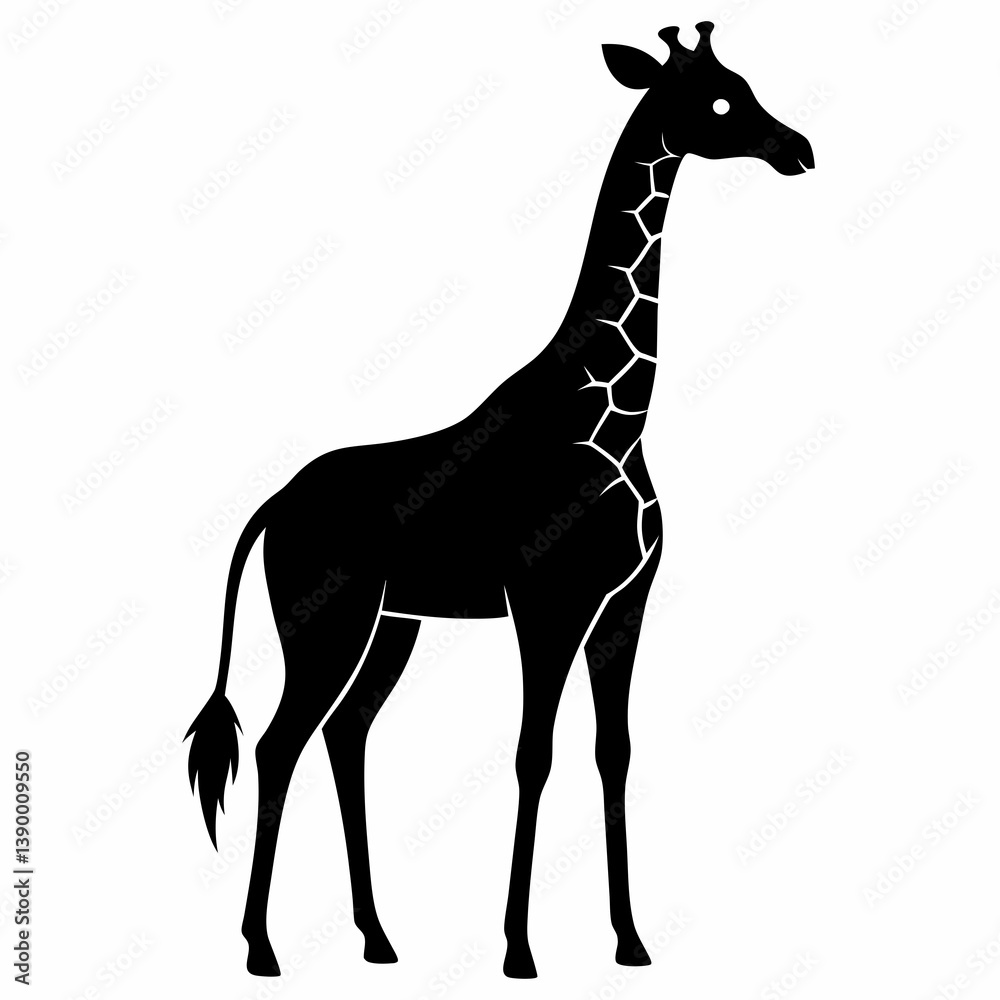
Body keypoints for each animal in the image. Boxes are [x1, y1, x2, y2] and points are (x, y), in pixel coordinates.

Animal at [186, 21, 813, 980]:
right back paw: (262, 949)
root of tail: (271, 507)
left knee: (344, 734)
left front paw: (631, 941)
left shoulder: (625, 601)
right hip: (325, 621)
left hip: (390, 624)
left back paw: (378, 939)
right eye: (716, 100)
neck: (613, 416)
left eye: (746, 85)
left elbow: (612, 751)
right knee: (278, 741)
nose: (799, 150)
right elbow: (532, 756)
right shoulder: (547, 601)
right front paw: (519, 950)